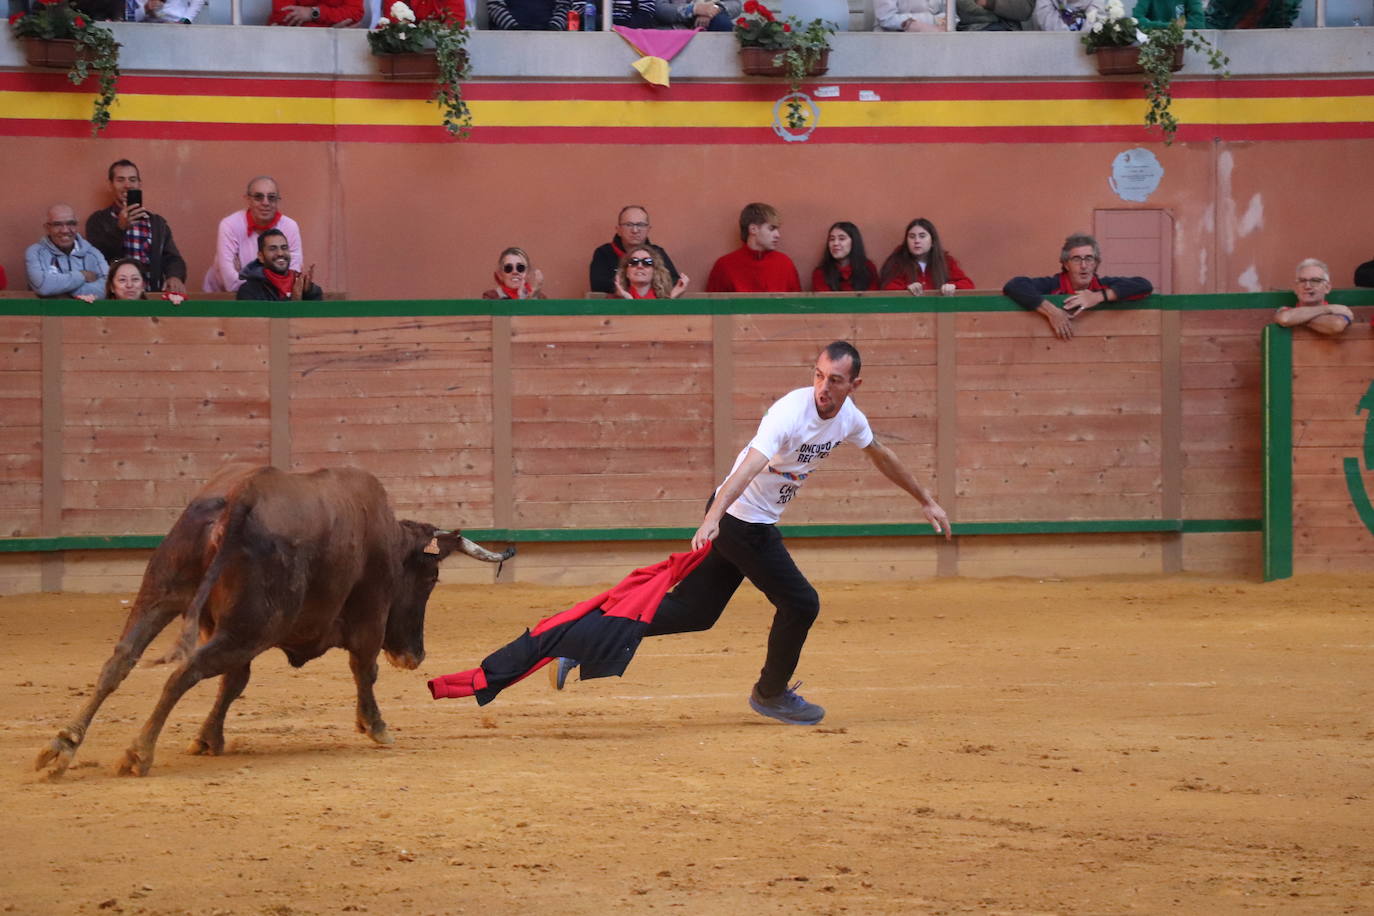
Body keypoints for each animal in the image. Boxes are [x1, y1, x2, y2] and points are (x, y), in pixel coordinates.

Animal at [34, 461, 516, 780]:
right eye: (431, 578)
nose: (414, 655)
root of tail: (239, 498)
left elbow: (234, 683)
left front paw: (208, 739)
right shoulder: (369, 617)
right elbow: (364, 668)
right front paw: (376, 726)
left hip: (164, 594)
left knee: (121, 659)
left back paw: (62, 746)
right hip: (251, 626)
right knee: (183, 672)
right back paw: (138, 752)